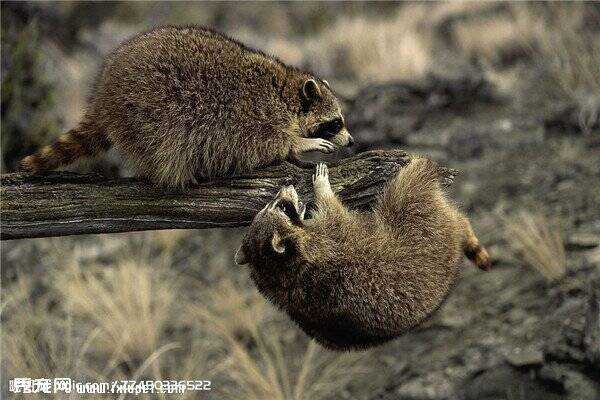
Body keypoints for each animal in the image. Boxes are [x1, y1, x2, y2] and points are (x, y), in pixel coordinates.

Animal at [21, 26, 354, 188]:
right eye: (336, 122)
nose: (352, 141)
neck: (286, 93)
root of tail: (103, 95)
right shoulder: (252, 117)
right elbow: (264, 143)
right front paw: (300, 143)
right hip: (146, 111)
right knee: (164, 144)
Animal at [234, 159, 492, 350]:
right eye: (281, 207)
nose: (285, 186)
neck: (277, 269)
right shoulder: (329, 237)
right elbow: (333, 210)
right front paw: (322, 188)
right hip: (425, 227)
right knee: (407, 191)